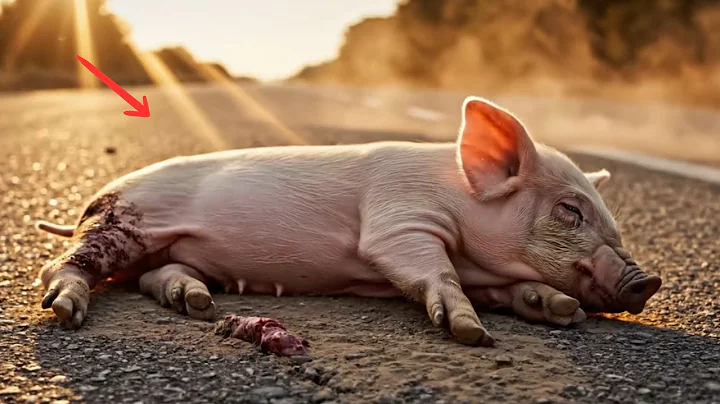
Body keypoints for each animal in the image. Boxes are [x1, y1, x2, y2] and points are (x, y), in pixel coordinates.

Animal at [35, 96, 662, 346]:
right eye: (570, 210)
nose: (648, 279)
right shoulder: (398, 219)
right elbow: (428, 270)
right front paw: (471, 333)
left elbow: (513, 292)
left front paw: (562, 312)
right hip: (121, 223)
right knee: (63, 267)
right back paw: (64, 311)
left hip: (167, 252)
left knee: (153, 277)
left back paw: (198, 304)